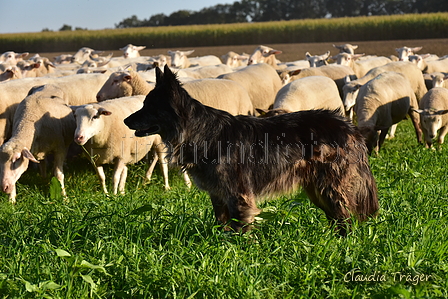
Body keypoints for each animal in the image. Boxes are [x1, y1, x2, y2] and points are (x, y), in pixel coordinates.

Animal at [125, 65, 378, 234]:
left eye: (149, 106)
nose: (126, 121)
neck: (200, 131)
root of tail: (348, 127)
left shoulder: (237, 194)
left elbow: (240, 228)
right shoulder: (218, 194)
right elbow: (223, 225)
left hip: (330, 186)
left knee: (345, 218)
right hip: (316, 189)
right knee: (338, 217)